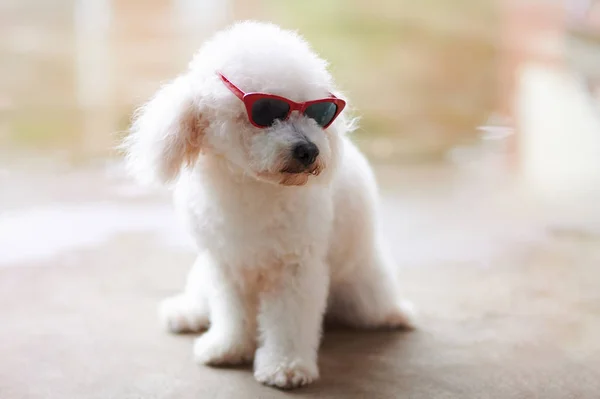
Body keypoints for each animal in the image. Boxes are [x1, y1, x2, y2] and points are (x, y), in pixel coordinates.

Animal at [122, 21, 412, 390]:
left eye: (319, 113)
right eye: (266, 111)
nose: (309, 150)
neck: (251, 186)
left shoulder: (295, 269)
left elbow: (288, 322)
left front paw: (285, 367)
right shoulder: (226, 264)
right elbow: (231, 313)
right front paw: (228, 347)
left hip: (362, 290)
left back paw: (394, 314)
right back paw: (186, 312)